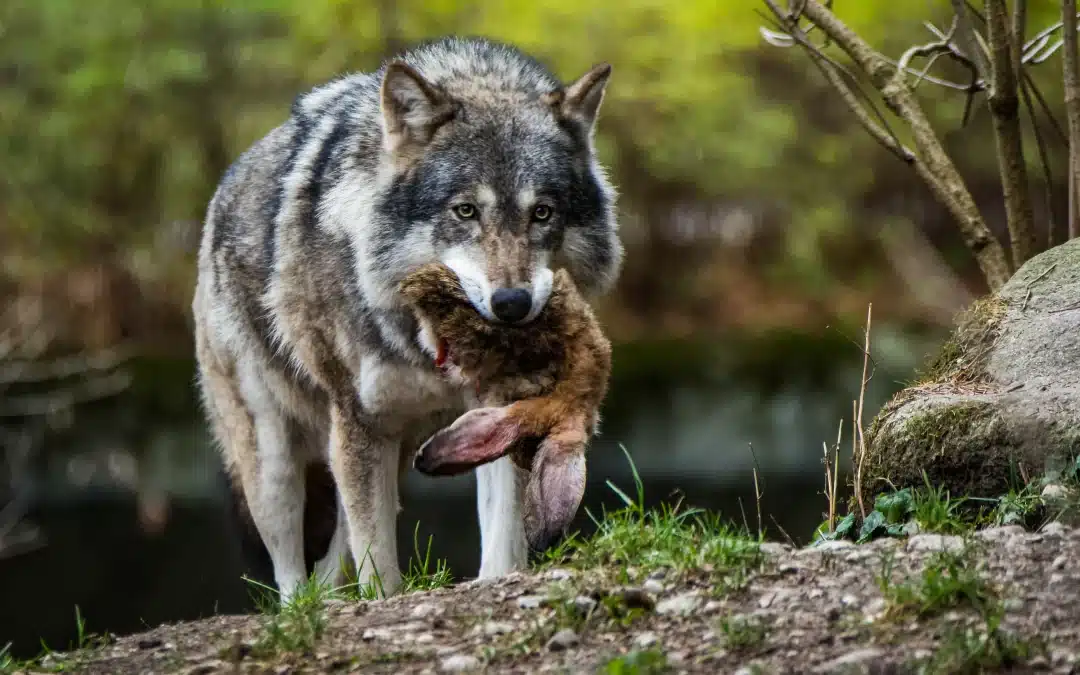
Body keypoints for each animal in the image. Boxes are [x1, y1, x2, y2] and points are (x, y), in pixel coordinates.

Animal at [192, 36, 623, 603]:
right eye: (465, 211)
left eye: (543, 213)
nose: (512, 304)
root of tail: (222, 192)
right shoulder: (360, 422)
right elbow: (378, 570)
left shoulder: (497, 412)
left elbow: (502, 537)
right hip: (276, 463)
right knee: (291, 577)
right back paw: (301, 608)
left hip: (388, 454)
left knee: (332, 560)